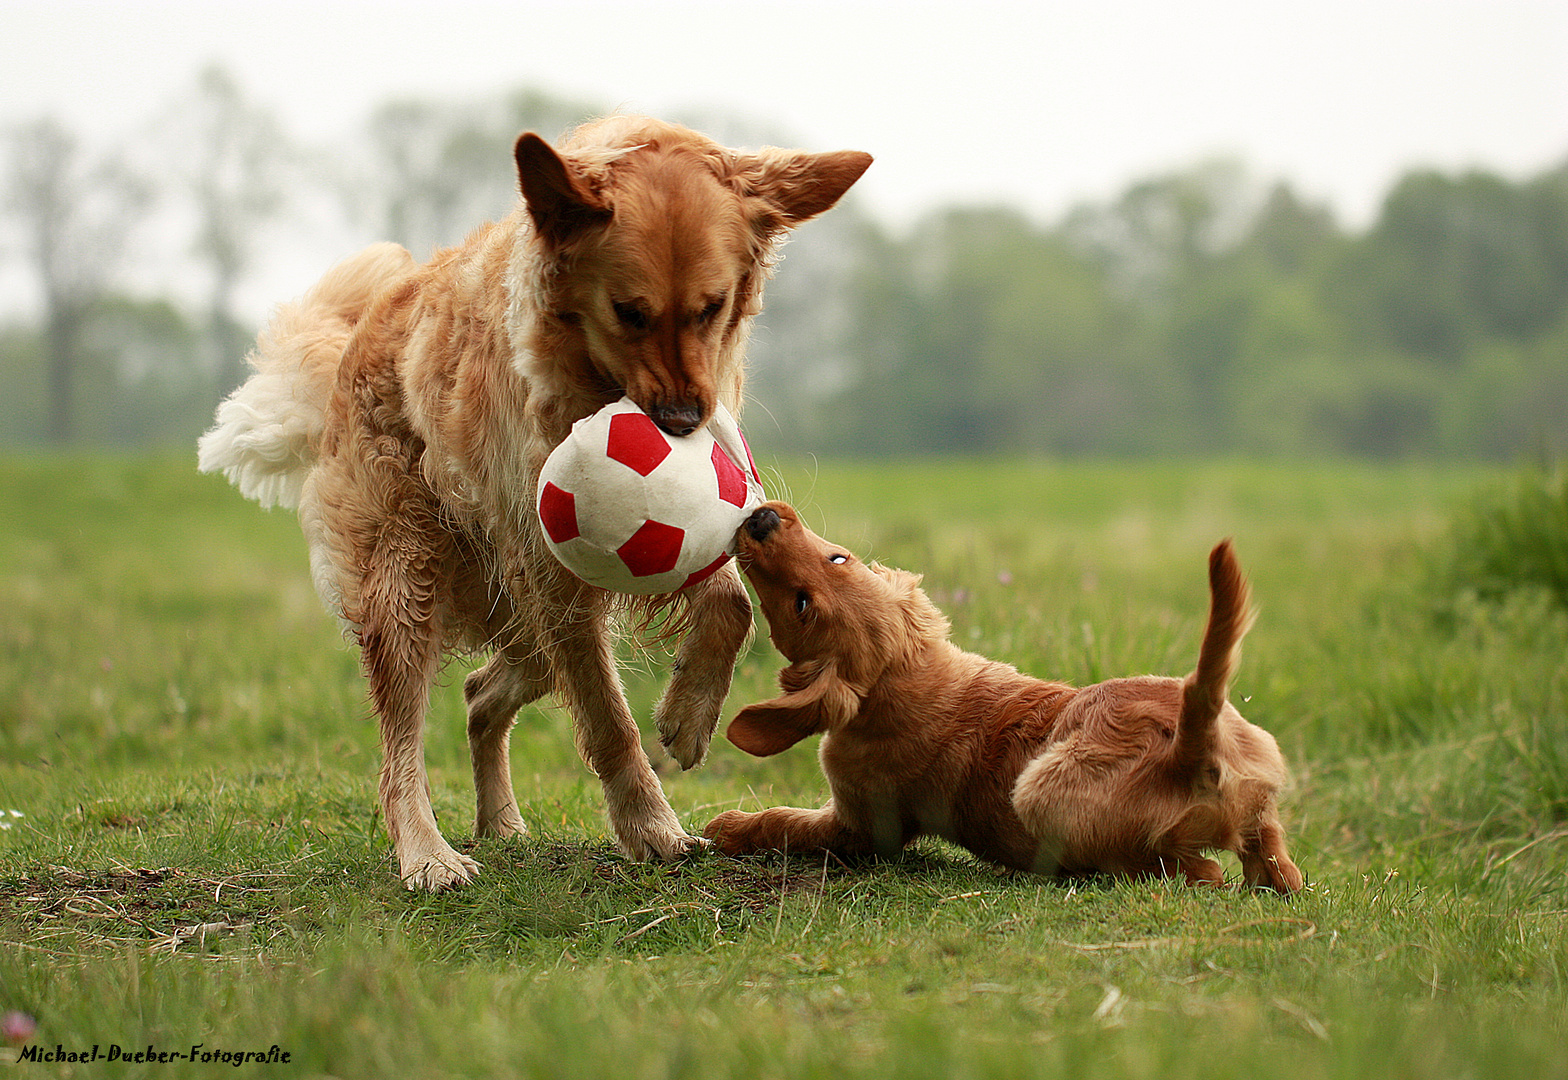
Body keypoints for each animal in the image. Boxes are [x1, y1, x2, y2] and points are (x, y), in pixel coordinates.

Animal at [199, 119, 871, 890]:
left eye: (713, 308)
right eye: (629, 312)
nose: (679, 423)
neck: (590, 377)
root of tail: (360, 333)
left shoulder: (674, 530)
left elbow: (729, 603)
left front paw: (689, 714)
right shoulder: (555, 569)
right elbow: (609, 723)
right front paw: (651, 827)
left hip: (519, 614)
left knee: (479, 694)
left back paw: (500, 822)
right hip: (410, 576)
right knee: (402, 753)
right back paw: (428, 854)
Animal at [705, 501, 1304, 890]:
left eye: (804, 602)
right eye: (835, 563)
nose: (760, 518)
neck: (905, 675)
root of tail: (1189, 744)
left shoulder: (863, 826)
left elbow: (788, 822)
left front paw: (729, 827)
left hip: (1038, 792)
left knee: (1200, 873)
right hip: (1260, 782)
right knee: (1276, 861)